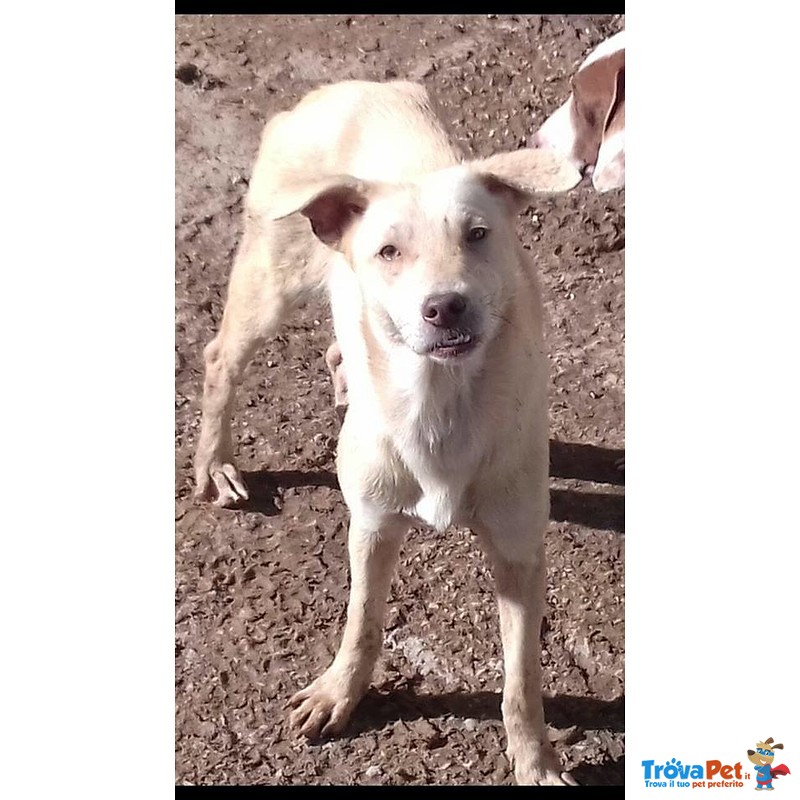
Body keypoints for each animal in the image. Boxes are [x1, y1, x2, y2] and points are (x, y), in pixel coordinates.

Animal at [194, 83, 580, 788]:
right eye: (388, 251)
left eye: (478, 235)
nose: (445, 306)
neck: (439, 401)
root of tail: (344, 87)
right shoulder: (371, 525)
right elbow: (363, 621)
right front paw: (339, 694)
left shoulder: (519, 550)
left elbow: (521, 678)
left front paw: (536, 760)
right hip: (270, 280)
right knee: (219, 359)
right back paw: (215, 463)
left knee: (335, 349)